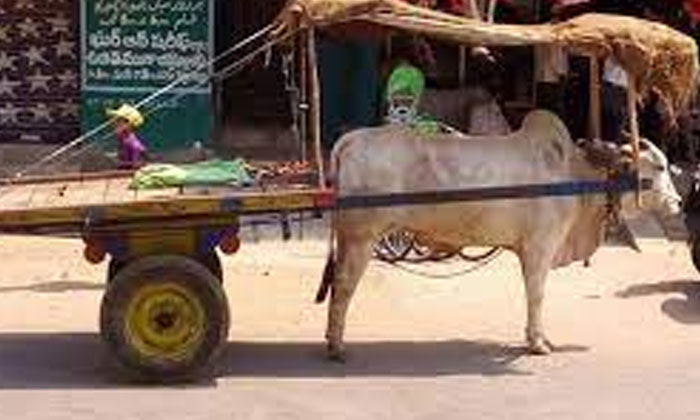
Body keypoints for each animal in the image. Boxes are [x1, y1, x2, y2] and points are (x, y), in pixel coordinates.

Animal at [316, 110, 680, 360]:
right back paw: (336, 347)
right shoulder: (539, 248)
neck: (575, 176)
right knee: (344, 285)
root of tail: (352, 139)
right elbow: (536, 295)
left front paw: (537, 338)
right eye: (660, 167)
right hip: (362, 237)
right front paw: (538, 343)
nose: (677, 202)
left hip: (351, 238)